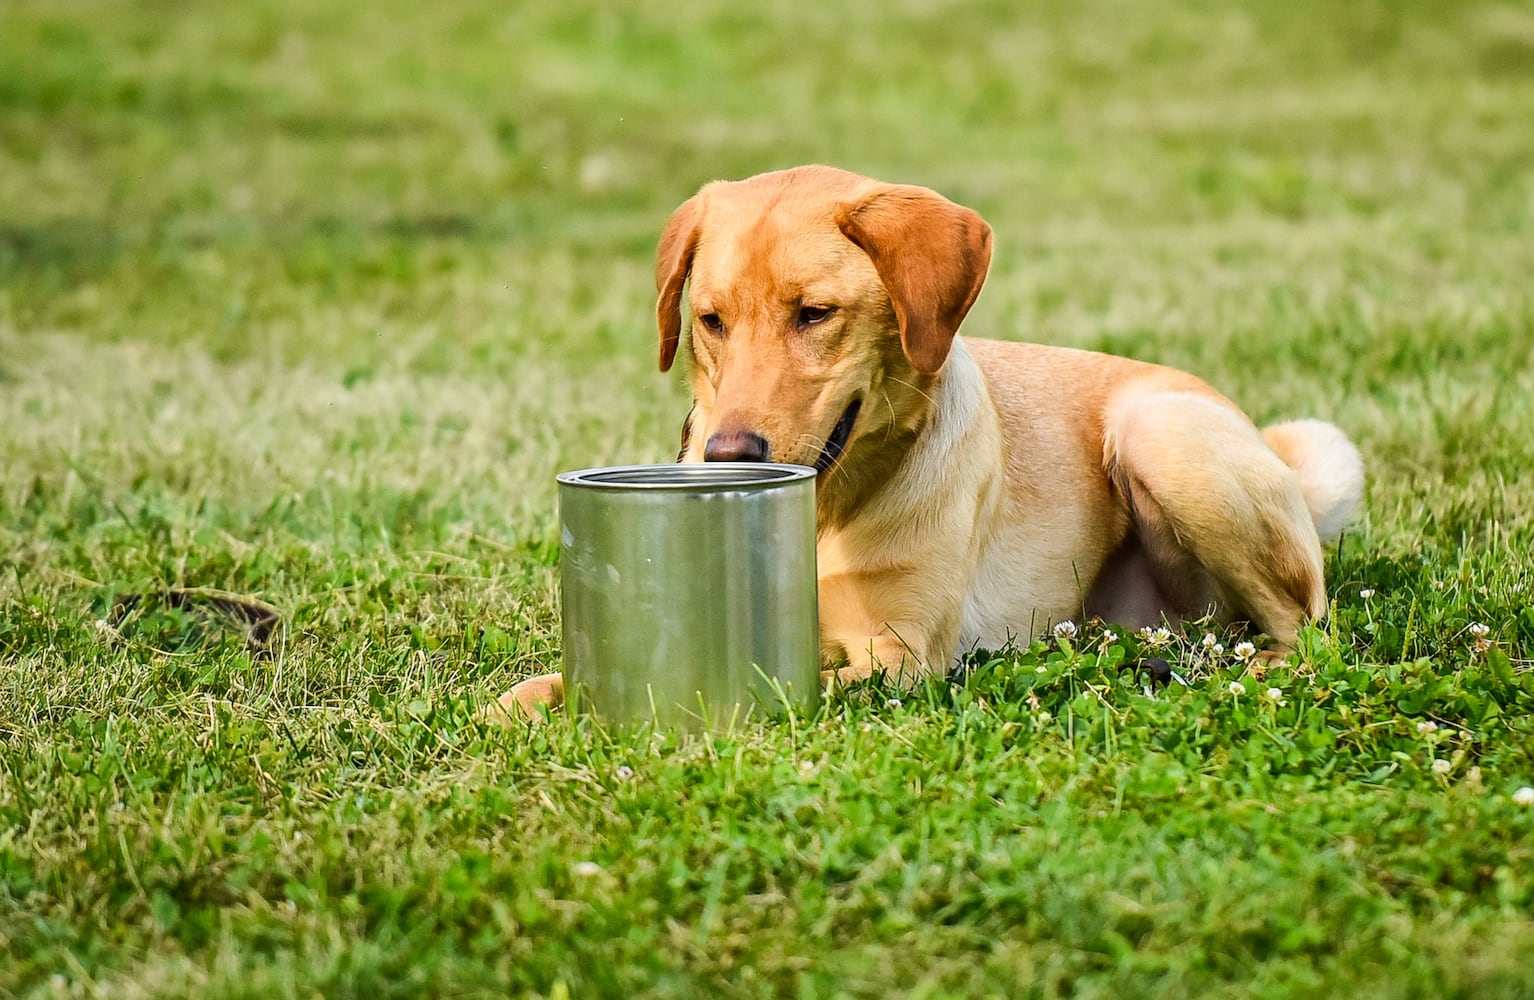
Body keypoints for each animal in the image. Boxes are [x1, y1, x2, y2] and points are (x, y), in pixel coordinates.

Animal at [493, 165, 1368, 717]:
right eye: (710, 321)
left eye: (814, 314)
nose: (730, 457)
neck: (824, 516)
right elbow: (524, 694)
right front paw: (545, 700)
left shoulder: (901, 652)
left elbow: (802, 684)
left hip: (1163, 435)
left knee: (1308, 628)